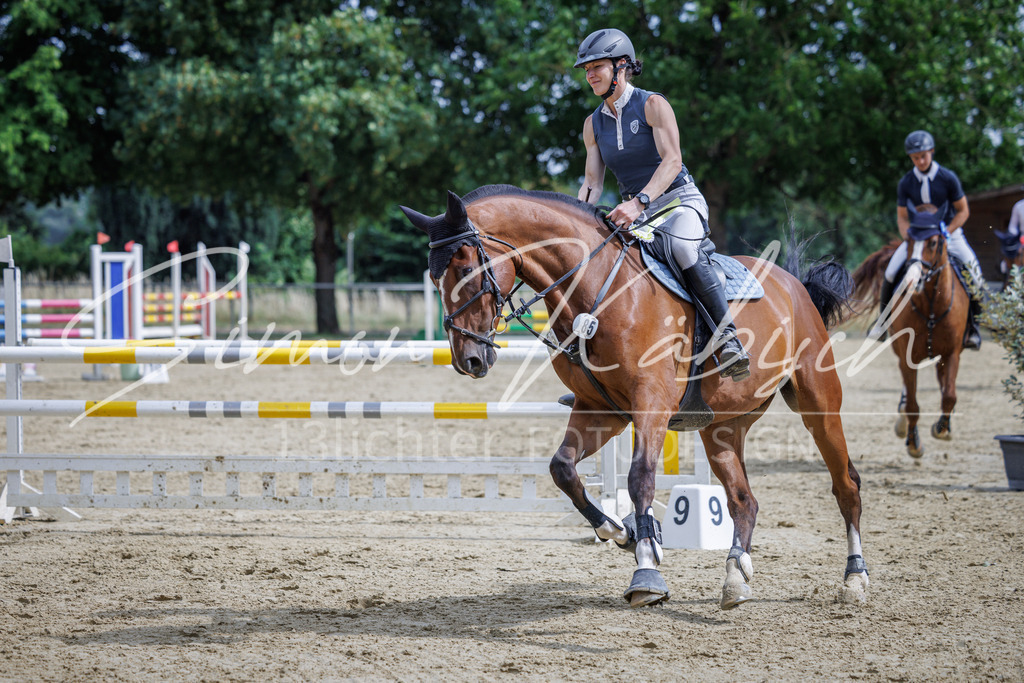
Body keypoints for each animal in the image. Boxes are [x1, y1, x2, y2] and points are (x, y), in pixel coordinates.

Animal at [401, 185, 868, 609]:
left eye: (466, 268)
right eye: (434, 277)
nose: (469, 359)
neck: (596, 288)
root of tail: (794, 284)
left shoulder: (651, 404)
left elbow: (640, 477)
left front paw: (646, 570)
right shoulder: (599, 410)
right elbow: (562, 469)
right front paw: (624, 533)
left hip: (818, 404)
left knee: (845, 484)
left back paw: (854, 579)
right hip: (722, 426)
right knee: (743, 501)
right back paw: (736, 576)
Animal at [852, 206, 971, 458]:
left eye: (934, 242)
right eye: (909, 240)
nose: (911, 281)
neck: (931, 307)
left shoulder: (952, 353)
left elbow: (949, 395)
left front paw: (942, 428)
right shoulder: (908, 358)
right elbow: (913, 405)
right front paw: (914, 443)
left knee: (943, 384)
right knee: (908, 395)